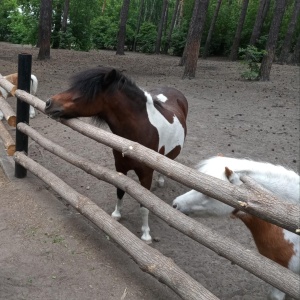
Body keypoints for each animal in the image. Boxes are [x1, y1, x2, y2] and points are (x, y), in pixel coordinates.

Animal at [44, 66, 188, 244]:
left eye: (83, 92)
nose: (48, 103)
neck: (136, 138)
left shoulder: (146, 174)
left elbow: (144, 205)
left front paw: (146, 234)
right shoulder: (120, 167)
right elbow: (120, 191)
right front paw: (116, 215)